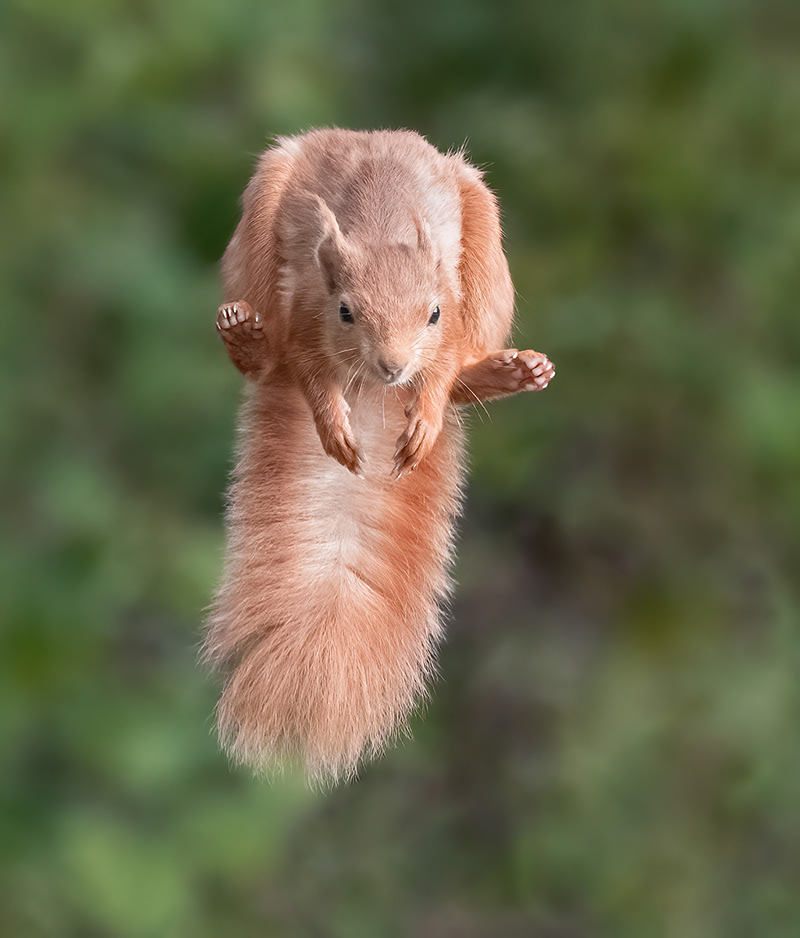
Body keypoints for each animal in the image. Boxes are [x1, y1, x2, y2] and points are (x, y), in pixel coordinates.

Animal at [203, 128, 555, 782]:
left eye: (433, 312)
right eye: (347, 310)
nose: (394, 367)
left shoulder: (452, 310)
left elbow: (442, 371)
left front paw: (425, 420)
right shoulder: (306, 311)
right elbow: (307, 366)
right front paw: (333, 428)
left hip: (486, 247)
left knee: (464, 373)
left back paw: (506, 373)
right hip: (256, 239)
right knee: (269, 359)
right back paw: (246, 335)